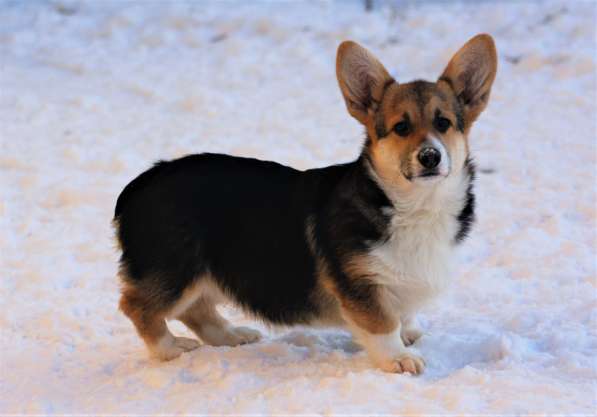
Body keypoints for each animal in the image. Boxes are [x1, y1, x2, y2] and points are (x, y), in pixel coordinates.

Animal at [114, 34, 496, 374]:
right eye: (401, 127)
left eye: (444, 123)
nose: (430, 156)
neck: (411, 205)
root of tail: (138, 185)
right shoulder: (360, 284)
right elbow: (382, 324)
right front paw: (398, 358)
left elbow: (403, 314)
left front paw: (410, 333)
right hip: (176, 269)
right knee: (137, 306)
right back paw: (169, 349)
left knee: (195, 310)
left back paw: (231, 335)